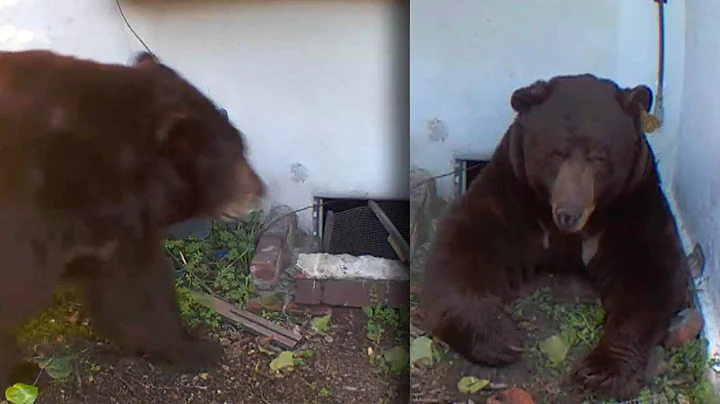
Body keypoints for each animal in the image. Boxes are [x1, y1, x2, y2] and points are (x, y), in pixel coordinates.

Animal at [0, 49, 264, 388]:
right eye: (232, 154)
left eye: (242, 145)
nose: (261, 189)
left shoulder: (112, 228)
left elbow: (132, 288)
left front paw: (190, 346)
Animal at [421, 74, 690, 400]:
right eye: (556, 153)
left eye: (600, 157)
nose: (568, 213)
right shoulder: (513, 194)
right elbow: (461, 245)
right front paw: (502, 338)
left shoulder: (632, 205)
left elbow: (652, 275)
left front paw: (599, 371)